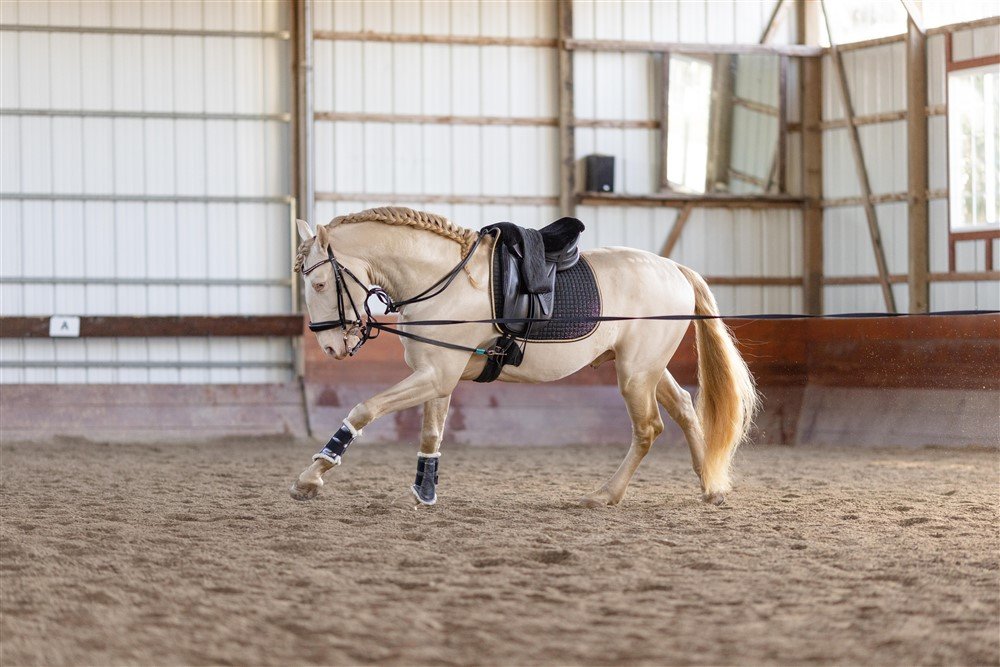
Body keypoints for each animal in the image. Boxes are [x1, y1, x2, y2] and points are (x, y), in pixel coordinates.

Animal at [289, 207, 758, 507]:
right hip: (645, 368)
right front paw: (426, 492)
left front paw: (311, 476)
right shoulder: (437, 374)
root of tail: (675, 269)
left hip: (635, 374)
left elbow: (365, 408)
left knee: (648, 429)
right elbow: (431, 434)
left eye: (319, 285)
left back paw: (605, 495)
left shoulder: (435, 374)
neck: (443, 280)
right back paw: (710, 486)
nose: (330, 347)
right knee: (684, 408)